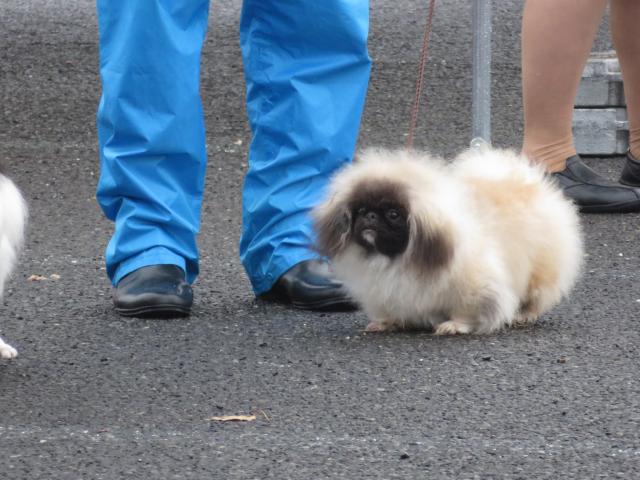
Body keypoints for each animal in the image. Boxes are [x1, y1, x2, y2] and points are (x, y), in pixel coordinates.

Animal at [312, 148, 584, 336]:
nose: (370, 217)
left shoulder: (474, 285)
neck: (395, 258)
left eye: (393, 214)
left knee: (535, 297)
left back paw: (523, 316)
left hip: (538, 273)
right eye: (359, 210)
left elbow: (466, 309)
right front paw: (388, 322)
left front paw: (453, 325)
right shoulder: (382, 288)